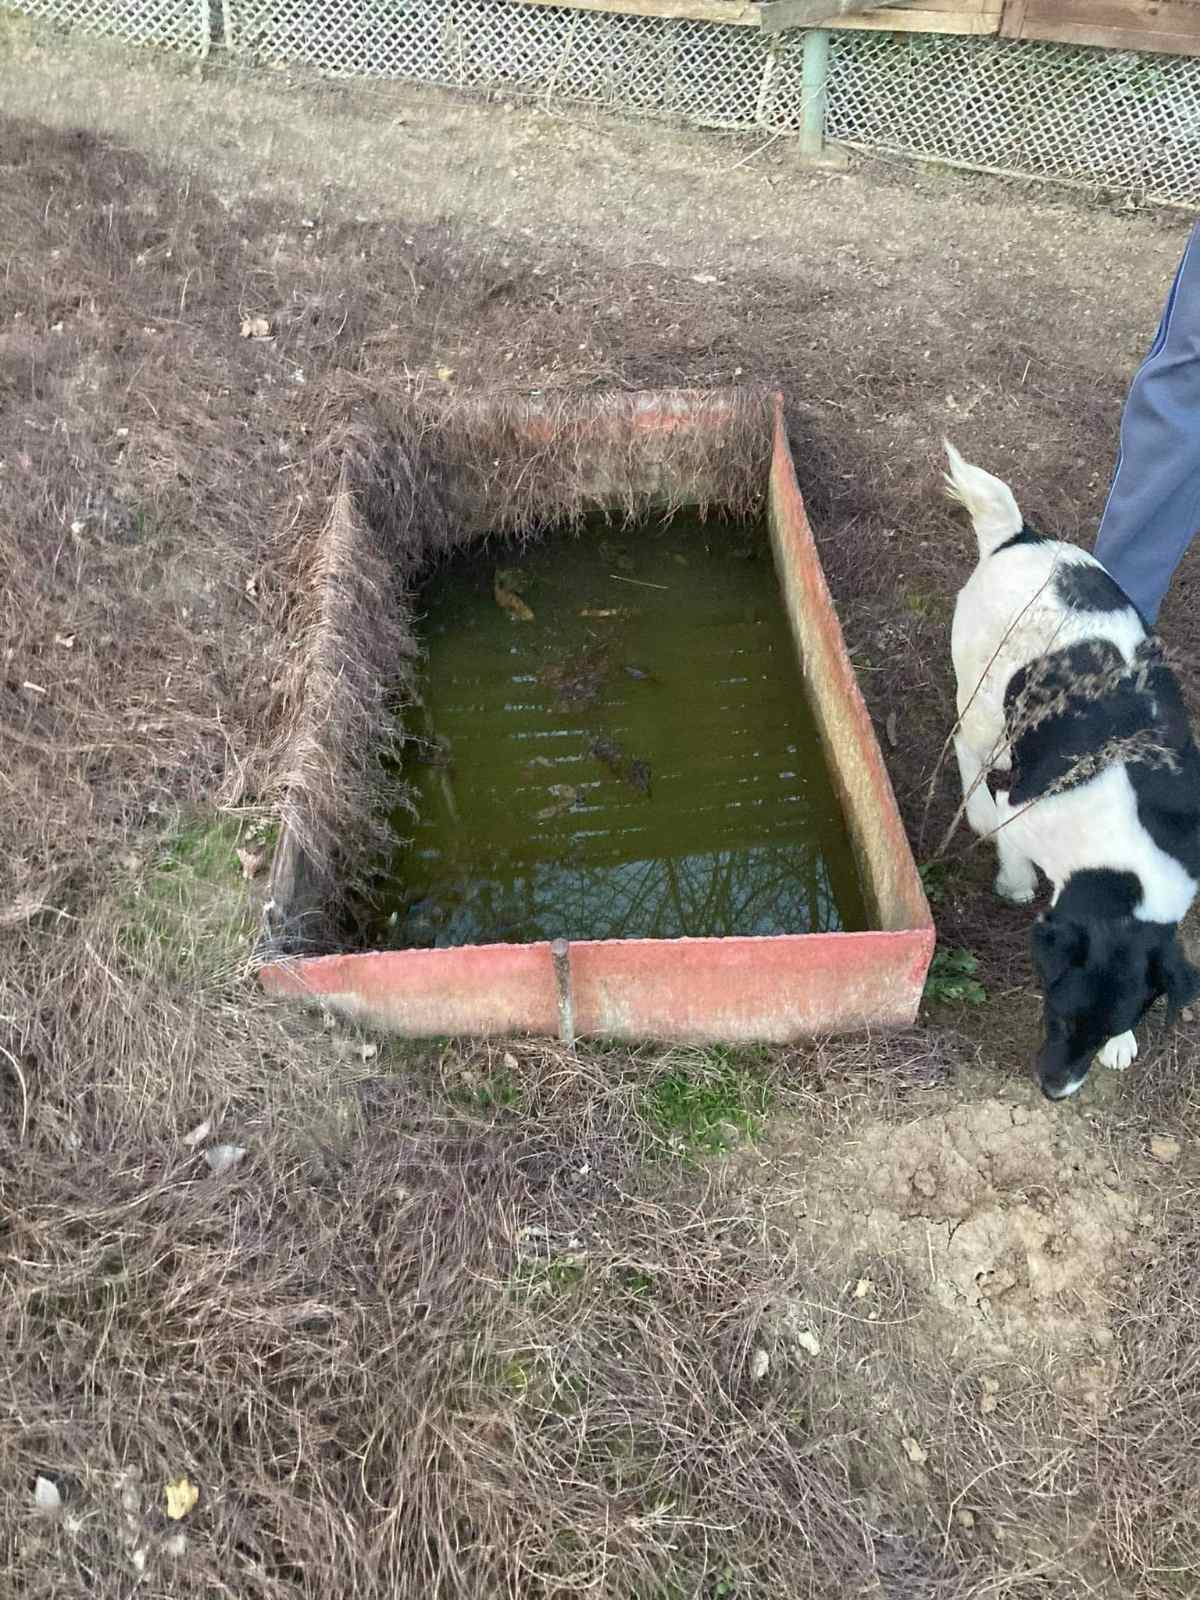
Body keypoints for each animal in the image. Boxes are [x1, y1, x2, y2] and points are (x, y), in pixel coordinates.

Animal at [945, 442, 1200, 1100]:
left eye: (1114, 1022)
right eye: (1057, 1016)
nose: (1055, 1091)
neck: (1123, 863)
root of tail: (1019, 537)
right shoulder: (1022, 813)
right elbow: (1010, 847)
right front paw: (1013, 883)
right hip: (982, 703)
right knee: (970, 749)